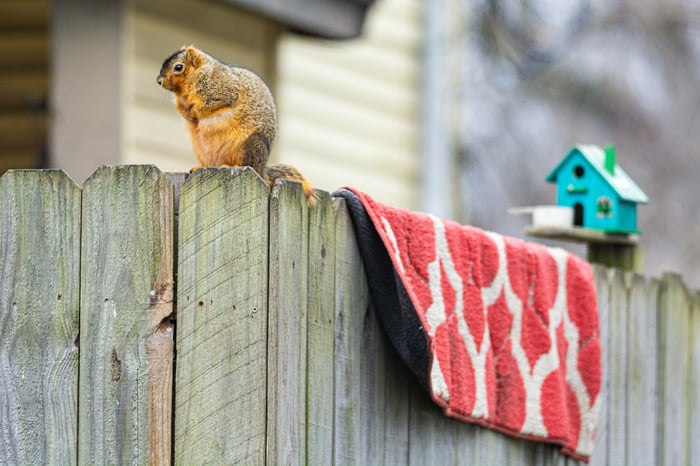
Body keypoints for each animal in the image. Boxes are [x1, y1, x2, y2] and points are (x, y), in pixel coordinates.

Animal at [157, 45, 317, 205]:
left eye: (178, 67)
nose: (159, 81)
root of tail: (262, 171)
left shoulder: (222, 90)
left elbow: (211, 103)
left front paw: (195, 111)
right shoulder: (181, 102)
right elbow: (182, 109)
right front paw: (188, 115)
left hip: (249, 146)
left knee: (248, 164)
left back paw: (233, 166)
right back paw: (200, 167)